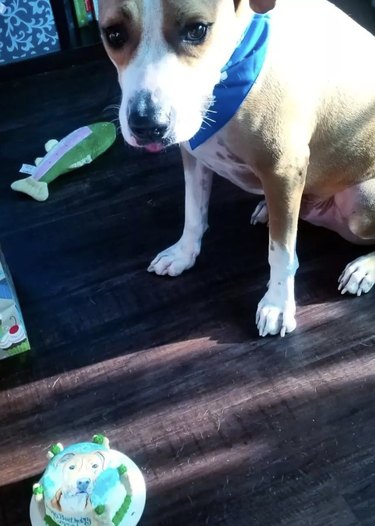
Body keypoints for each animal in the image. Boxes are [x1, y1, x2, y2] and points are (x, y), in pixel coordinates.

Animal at [100, 0, 375, 338]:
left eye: (197, 29)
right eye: (114, 34)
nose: (147, 125)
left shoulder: (283, 169)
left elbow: (281, 251)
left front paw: (278, 304)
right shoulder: (193, 154)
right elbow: (193, 213)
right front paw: (183, 253)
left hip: (360, 199)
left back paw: (363, 269)